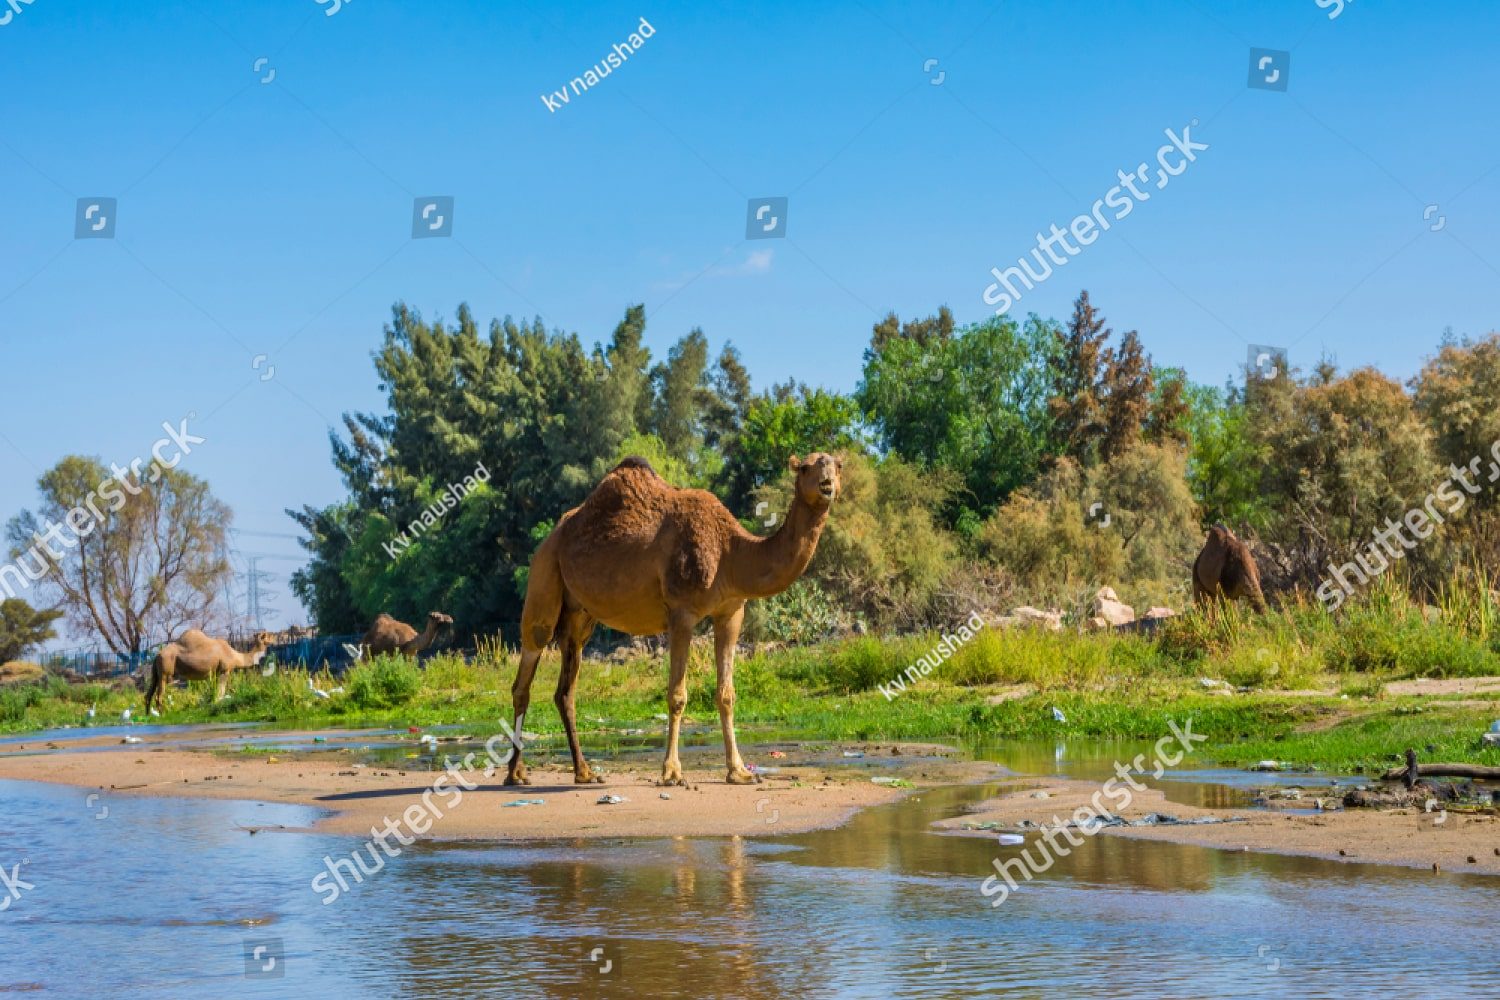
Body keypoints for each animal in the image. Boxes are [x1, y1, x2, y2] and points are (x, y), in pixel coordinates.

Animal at [144, 630, 275, 712]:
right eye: (268, 635)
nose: (275, 637)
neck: (236, 656)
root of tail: (157, 655)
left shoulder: (218, 673)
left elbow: (221, 690)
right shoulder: (224, 670)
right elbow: (220, 692)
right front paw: (217, 705)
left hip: (156, 672)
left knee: (148, 694)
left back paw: (149, 716)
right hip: (165, 671)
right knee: (159, 695)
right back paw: (164, 714)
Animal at [506, 452, 842, 788]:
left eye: (838, 465)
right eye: (805, 467)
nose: (827, 483)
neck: (730, 551)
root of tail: (553, 536)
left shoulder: (731, 612)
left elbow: (727, 694)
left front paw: (739, 771)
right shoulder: (682, 611)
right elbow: (677, 695)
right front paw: (671, 772)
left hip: (580, 615)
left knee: (566, 689)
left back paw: (584, 772)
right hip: (544, 576)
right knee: (525, 672)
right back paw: (515, 773)